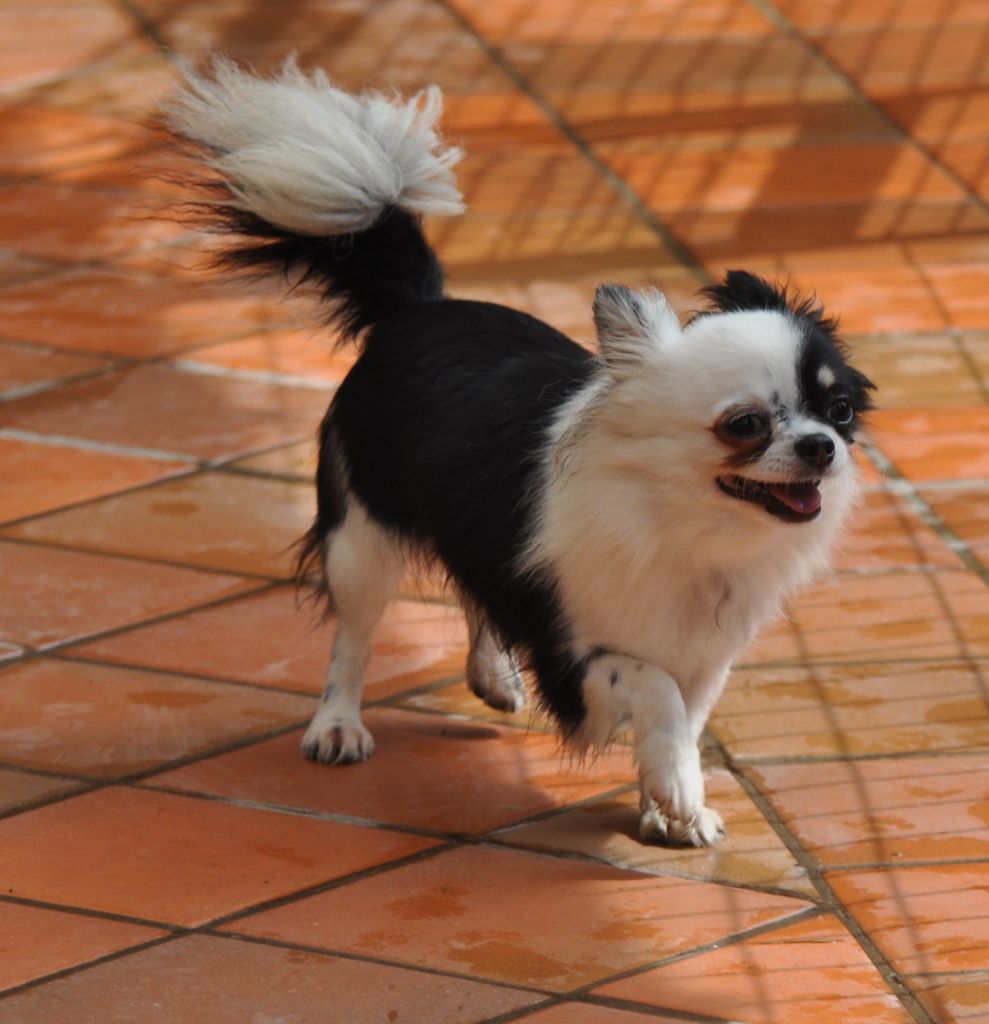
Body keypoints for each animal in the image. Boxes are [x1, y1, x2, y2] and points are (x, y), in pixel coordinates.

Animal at [166, 59, 880, 847]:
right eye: (744, 424)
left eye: (839, 410)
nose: (821, 447)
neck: (683, 523)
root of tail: (419, 309)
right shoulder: (573, 649)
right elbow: (655, 694)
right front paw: (677, 794)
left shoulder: (703, 656)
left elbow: (682, 722)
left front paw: (668, 805)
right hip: (362, 540)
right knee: (353, 637)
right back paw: (337, 726)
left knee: (474, 594)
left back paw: (490, 676)